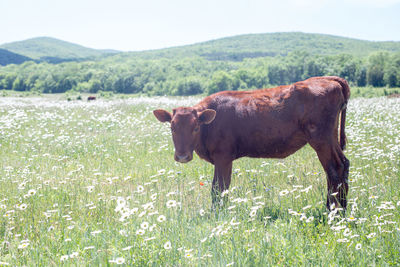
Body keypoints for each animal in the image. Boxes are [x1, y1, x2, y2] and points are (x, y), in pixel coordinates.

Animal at [153, 76, 350, 211]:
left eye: (195, 128)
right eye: (172, 127)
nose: (182, 156)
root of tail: (328, 78)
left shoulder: (223, 157)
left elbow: (219, 187)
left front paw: (217, 213)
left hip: (321, 140)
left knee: (334, 168)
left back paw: (333, 211)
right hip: (330, 138)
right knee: (341, 166)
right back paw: (340, 208)